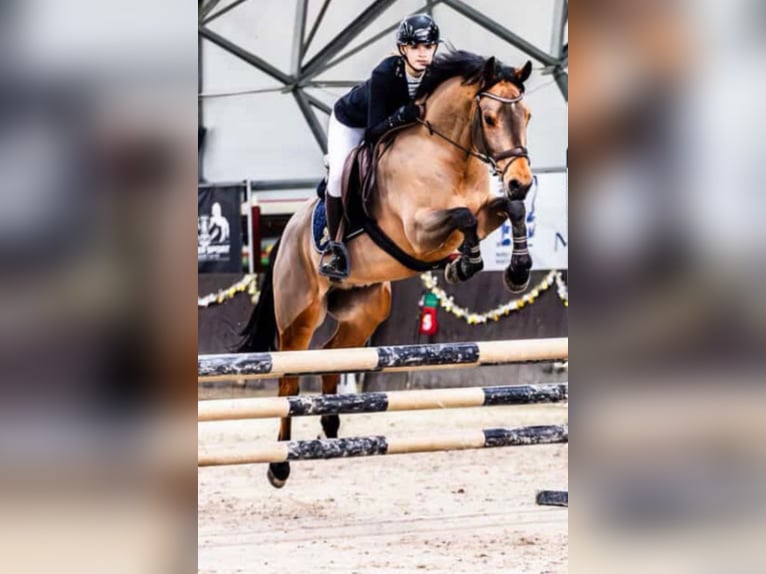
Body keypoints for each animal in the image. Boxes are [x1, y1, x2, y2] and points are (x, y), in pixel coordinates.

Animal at [240, 50, 535, 488]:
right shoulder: (417, 232)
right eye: (489, 118)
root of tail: (288, 230)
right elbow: (463, 216)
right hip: (299, 313)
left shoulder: (486, 210)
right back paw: (279, 465)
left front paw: (513, 270)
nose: (522, 181)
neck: (451, 155)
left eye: (527, 115)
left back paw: (331, 424)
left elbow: (507, 210)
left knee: (332, 355)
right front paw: (466, 264)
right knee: (289, 379)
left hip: (366, 308)